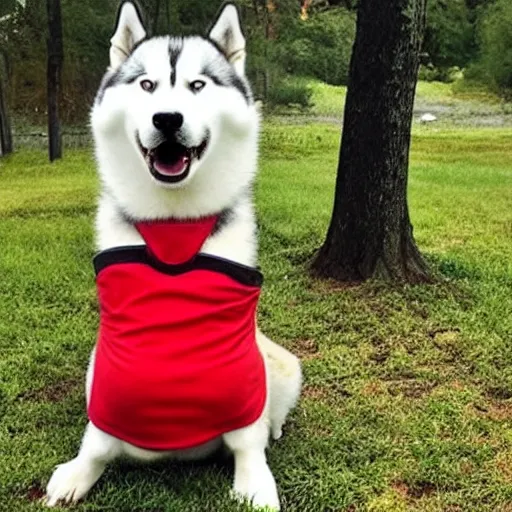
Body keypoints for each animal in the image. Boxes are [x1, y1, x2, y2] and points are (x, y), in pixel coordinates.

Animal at [45, 2, 300, 510]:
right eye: (146, 84)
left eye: (198, 85)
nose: (167, 118)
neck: (174, 222)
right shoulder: (110, 366)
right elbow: (98, 439)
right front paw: (80, 471)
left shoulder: (242, 358)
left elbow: (247, 435)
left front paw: (254, 479)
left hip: (282, 362)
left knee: (270, 412)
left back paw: (274, 429)